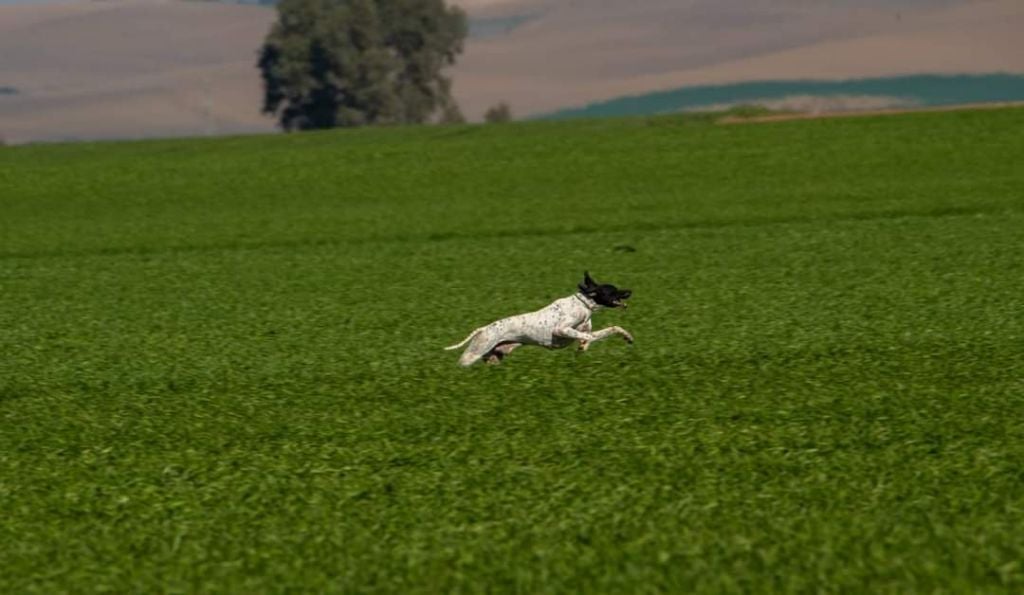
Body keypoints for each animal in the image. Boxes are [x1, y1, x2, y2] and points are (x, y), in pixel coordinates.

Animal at [446, 272, 630, 366]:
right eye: (613, 290)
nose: (630, 291)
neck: (584, 305)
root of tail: (484, 328)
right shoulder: (561, 329)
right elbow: (590, 335)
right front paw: (584, 343)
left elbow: (610, 329)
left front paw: (627, 336)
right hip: (473, 353)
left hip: (493, 357)